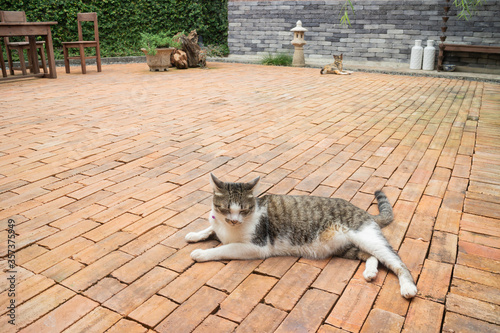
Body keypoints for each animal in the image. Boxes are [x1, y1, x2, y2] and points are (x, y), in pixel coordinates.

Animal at [186, 174, 416, 298]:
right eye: (225, 209)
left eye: (243, 210)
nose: (234, 221)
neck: (229, 228)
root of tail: (362, 210)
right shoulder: (219, 225)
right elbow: (210, 229)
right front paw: (195, 234)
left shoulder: (256, 247)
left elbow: (223, 248)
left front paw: (201, 253)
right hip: (347, 247)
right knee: (372, 256)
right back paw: (370, 272)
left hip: (366, 237)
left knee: (397, 262)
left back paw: (408, 287)